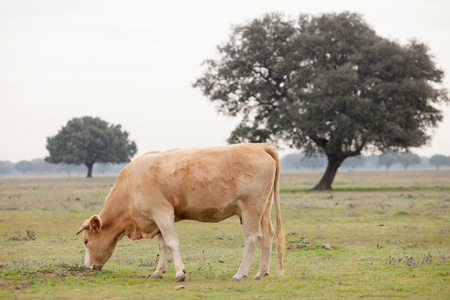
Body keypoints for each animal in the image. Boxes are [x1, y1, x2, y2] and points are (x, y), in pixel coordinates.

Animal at [75, 143, 284, 282]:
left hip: (250, 209)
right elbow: (162, 246)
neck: (130, 186)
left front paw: (179, 274)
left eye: (86, 241)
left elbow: (171, 243)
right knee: (267, 236)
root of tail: (260, 146)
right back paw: (261, 273)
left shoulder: (162, 213)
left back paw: (240, 274)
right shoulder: (160, 218)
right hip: (263, 209)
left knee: (252, 239)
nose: (87, 266)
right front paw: (158, 272)